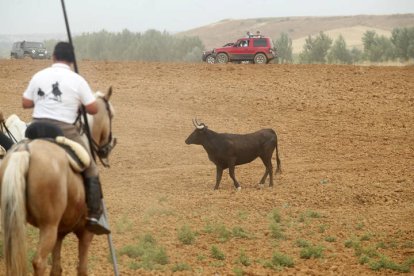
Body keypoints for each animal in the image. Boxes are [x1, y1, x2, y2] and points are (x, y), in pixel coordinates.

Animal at [0, 87, 116, 274]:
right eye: (111, 114)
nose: (109, 146)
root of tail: (24, 150)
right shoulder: (85, 234)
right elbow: (82, 269)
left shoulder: (60, 233)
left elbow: (56, 268)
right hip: (48, 227)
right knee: (39, 262)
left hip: (16, 221)